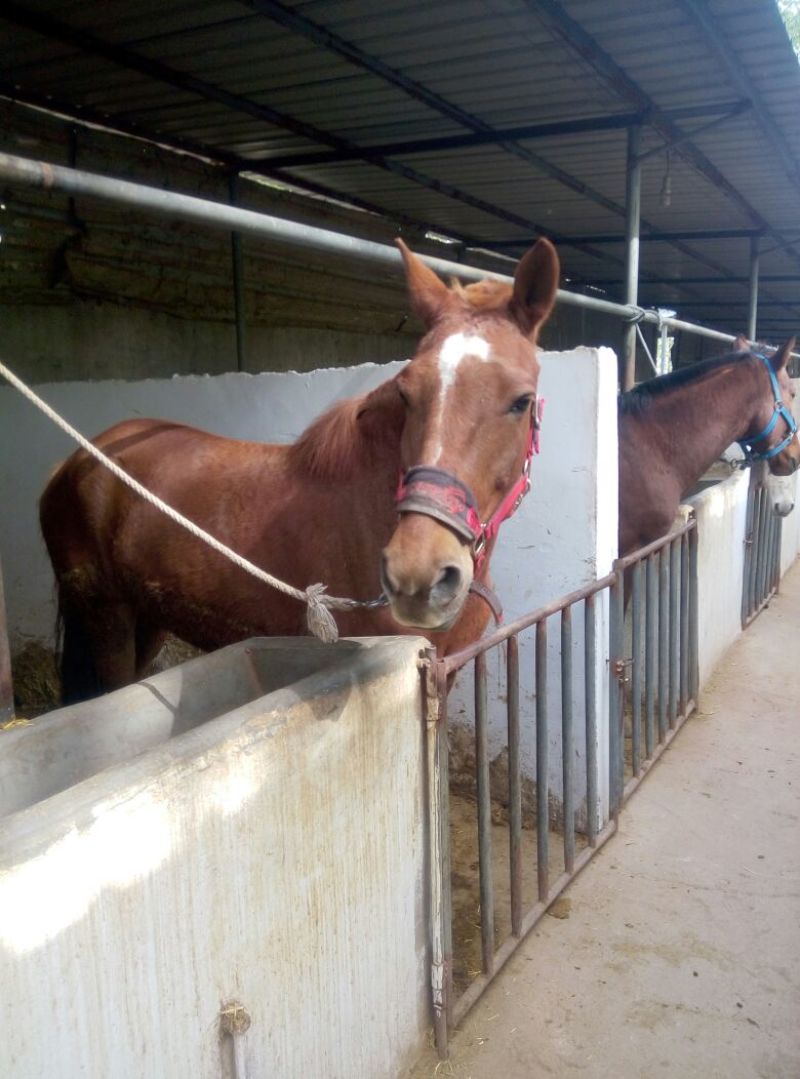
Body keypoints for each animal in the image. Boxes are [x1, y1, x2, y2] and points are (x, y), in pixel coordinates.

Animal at [40, 237, 560, 703]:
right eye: (407, 393)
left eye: (522, 401)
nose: (417, 574)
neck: (369, 509)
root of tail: (73, 461)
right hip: (106, 619)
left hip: (149, 618)